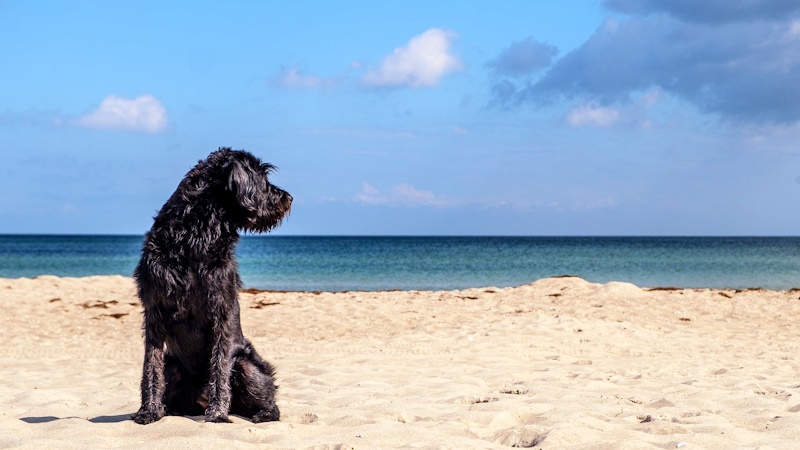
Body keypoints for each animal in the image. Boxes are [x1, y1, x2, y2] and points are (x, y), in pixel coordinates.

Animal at [131, 149, 294, 426]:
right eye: (261, 177)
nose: (288, 198)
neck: (195, 235)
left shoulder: (221, 311)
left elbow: (219, 365)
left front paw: (217, 413)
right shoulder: (154, 312)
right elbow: (150, 367)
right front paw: (149, 411)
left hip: (247, 365)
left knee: (271, 402)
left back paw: (261, 413)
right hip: (173, 366)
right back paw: (170, 409)